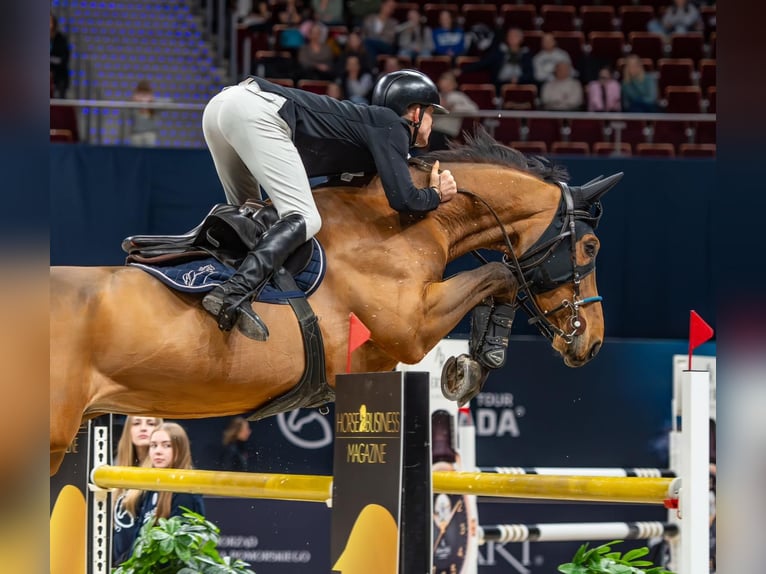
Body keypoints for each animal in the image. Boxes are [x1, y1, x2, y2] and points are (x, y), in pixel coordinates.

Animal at [49, 132, 624, 476]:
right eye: (591, 248)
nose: (592, 342)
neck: (412, 221)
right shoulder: (410, 328)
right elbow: (501, 274)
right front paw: (474, 363)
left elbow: (498, 276)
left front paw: (474, 361)